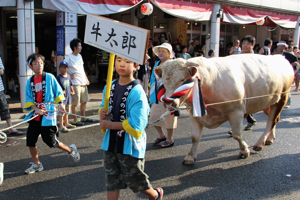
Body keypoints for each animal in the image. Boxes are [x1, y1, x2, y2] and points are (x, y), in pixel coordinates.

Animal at [156, 54, 294, 165]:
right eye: (164, 81)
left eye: (182, 80)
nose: (168, 102)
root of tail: (281, 57)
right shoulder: (194, 114)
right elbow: (195, 137)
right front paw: (190, 157)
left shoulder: (237, 112)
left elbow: (237, 135)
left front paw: (244, 150)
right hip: (269, 102)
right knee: (275, 119)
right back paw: (270, 139)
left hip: (282, 98)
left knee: (272, 120)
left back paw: (260, 143)